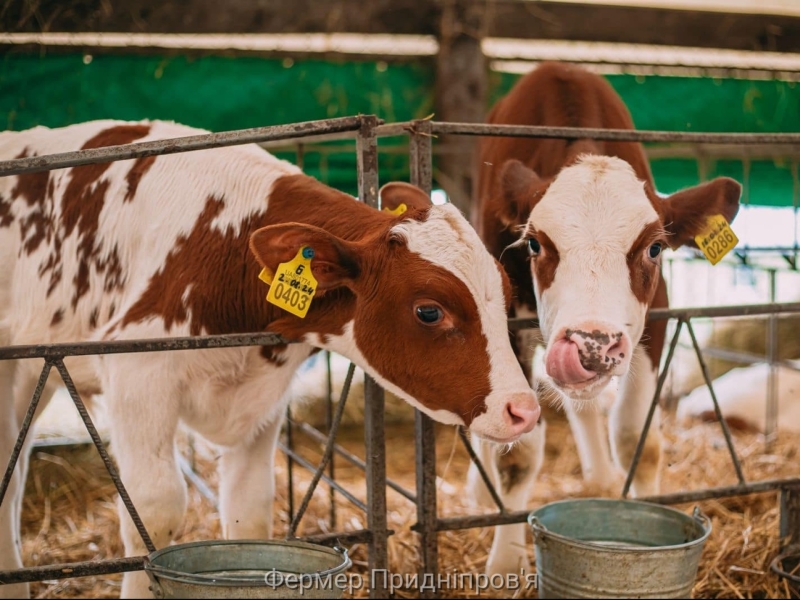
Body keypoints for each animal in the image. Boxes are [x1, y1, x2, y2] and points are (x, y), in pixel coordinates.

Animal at [0, 119, 540, 596]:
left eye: (508, 291)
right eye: (429, 311)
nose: (524, 409)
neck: (223, 245)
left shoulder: (264, 394)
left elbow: (248, 511)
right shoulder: (138, 374)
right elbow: (153, 511)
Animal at [472, 63, 740, 576]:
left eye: (654, 247)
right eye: (534, 243)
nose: (590, 345)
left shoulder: (656, 321)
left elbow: (638, 437)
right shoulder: (507, 328)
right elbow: (519, 452)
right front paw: (503, 563)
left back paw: (598, 478)